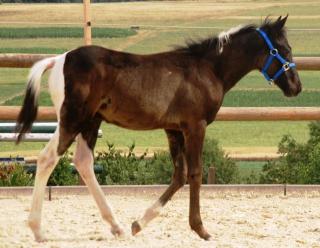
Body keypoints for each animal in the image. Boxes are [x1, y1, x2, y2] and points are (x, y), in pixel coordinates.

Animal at [16, 16, 302, 242]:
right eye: (283, 49)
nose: (296, 87)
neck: (208, 70)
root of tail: (59, 59)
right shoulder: (194, 126)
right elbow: (195, 173)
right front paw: (201, 229)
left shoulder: (173, 130)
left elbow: (179, 175)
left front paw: (139, 223)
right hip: (73, 118)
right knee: (48, 158)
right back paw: (37, 229)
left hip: (90, 121)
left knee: (83, 162)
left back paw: (117, 227)